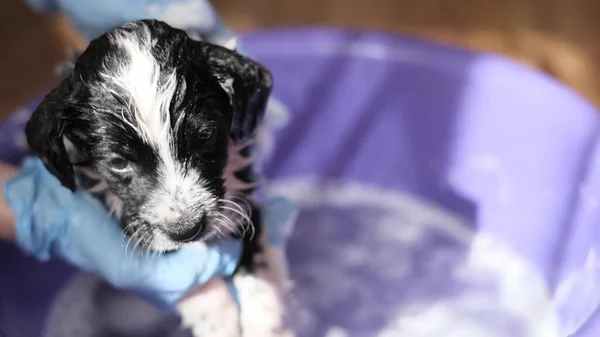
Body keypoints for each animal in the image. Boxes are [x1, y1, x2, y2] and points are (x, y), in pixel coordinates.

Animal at [27, 19, 294, 336]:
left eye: (206, 137)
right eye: (118, 163)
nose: (187, 230)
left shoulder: (242, 191)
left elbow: (253, 248)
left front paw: (264, 313)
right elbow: (177, 267)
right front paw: (216, 317)